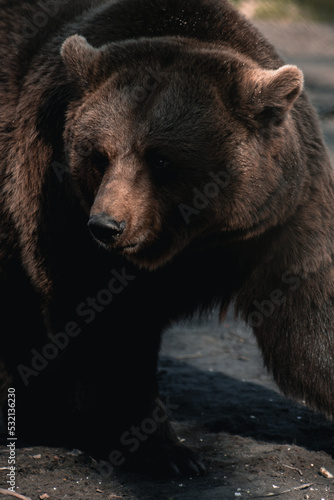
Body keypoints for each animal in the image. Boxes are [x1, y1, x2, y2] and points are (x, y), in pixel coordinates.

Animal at [0, 0, 334, 476]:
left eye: (160, 159)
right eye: (99, 155)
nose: (107, 225)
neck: (197, 239)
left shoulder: (281, 220)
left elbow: (308, 327)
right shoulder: (59, 209)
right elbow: (104, 328)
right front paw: (166, 451)